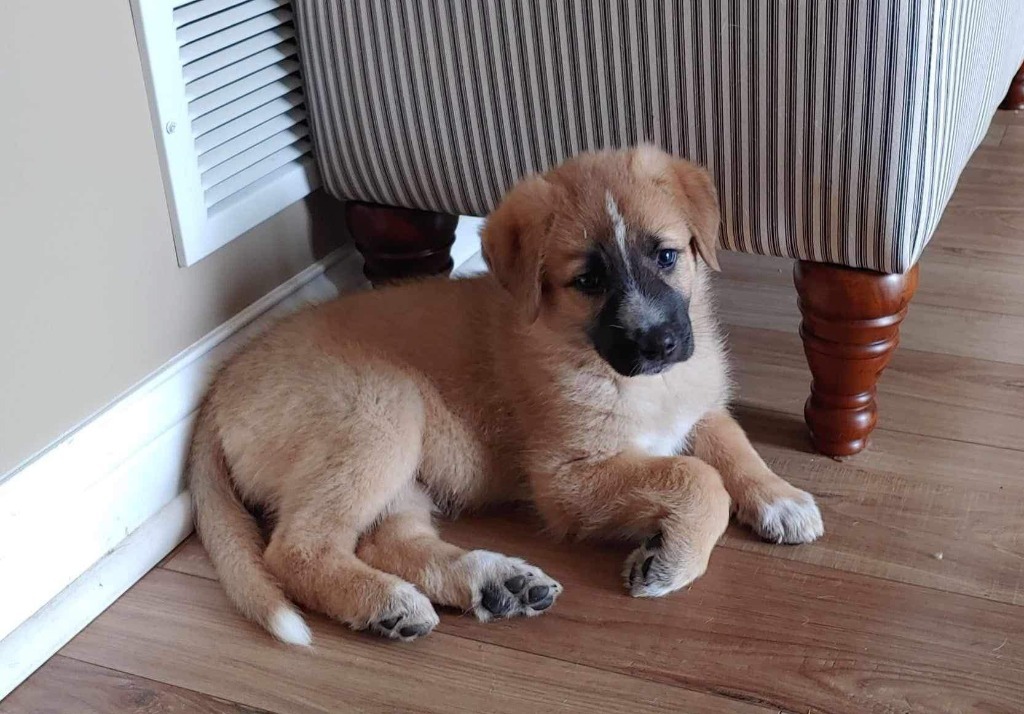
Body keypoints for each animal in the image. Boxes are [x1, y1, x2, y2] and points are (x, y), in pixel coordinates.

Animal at [186, 144, 823, 647]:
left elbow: (732, 445)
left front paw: (781, 498)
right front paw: (672, 562)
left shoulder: (696, 409)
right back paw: (390, 601)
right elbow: (696, 477)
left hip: (398, 465)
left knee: (390, 541)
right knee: (297, 549)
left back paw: (491, 584)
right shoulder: (567, 480)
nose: (659, 344)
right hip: (378, 413)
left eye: (667, 255)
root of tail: (219, 390)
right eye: (588, 281)